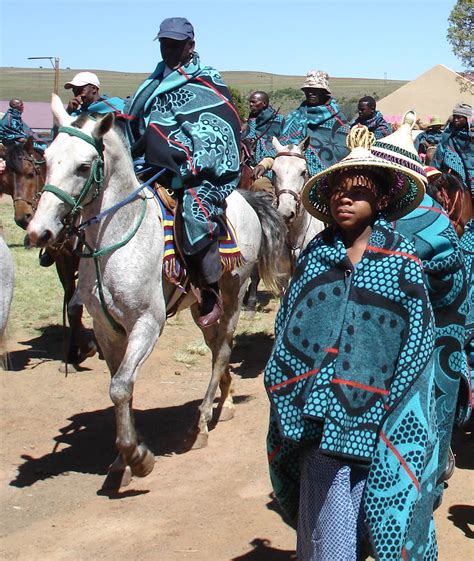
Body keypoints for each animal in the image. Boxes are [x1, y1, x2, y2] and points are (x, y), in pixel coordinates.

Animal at [0, 138, 96, 370]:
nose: (23, 218)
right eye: (5, 181)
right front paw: (74, 354)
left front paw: (88, 347)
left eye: (30, 174)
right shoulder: (63, 262)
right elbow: (71, 306)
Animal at [27, 94, 286, 488]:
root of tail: (245, 199)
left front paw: (137, 458)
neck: (113, 241)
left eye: (84, 166)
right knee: (216, 347)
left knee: (223, 350)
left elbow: (120, 386)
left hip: (233, 293)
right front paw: (122, 459)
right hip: (201, 307)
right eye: (45, 159)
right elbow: (121, 386)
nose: (40, 232)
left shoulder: (147, 323)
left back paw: (201, 423)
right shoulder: (106, 328)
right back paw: (223, 403)